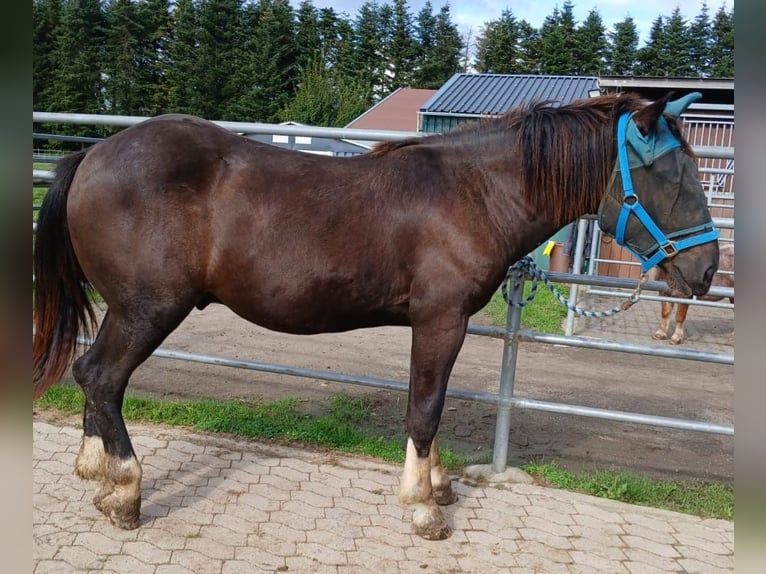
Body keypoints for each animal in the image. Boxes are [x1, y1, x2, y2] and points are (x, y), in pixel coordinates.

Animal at [34, 92, 720, 544]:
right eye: (670, 174)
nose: (708, 270)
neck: (474, 193)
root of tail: (92, 155)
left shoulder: (439, 325)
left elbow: (431, 407)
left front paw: (437, 486)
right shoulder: (441, 321)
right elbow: (425, 409)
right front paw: (424, 508)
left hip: (131, 310)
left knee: (92, 376)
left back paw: (96, 475)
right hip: (148, 309)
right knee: (103, 377)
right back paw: (125, 491)